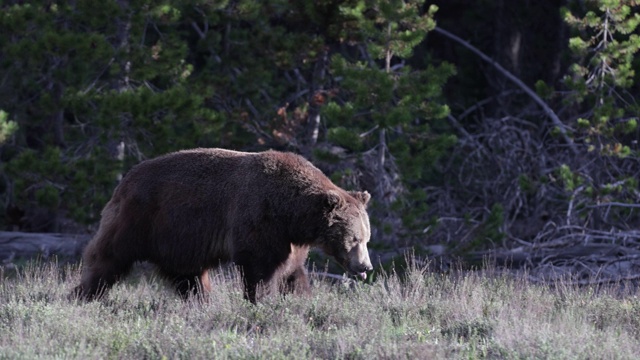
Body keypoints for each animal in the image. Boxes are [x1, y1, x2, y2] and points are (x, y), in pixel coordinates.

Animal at [72, 148, 372, 302]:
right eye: (354, 239)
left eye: (366, 238)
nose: (366, 266)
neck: (291, 213)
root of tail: (125, 179)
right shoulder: (258, 218)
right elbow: (259, 266)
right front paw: (262, 300)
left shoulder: (290, 239)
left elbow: (292, 271)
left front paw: (300, 300)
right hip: (141, 219)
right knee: (109, 257)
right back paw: (83, 293)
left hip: (178, 239)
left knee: (188, 275)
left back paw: (201, 300)